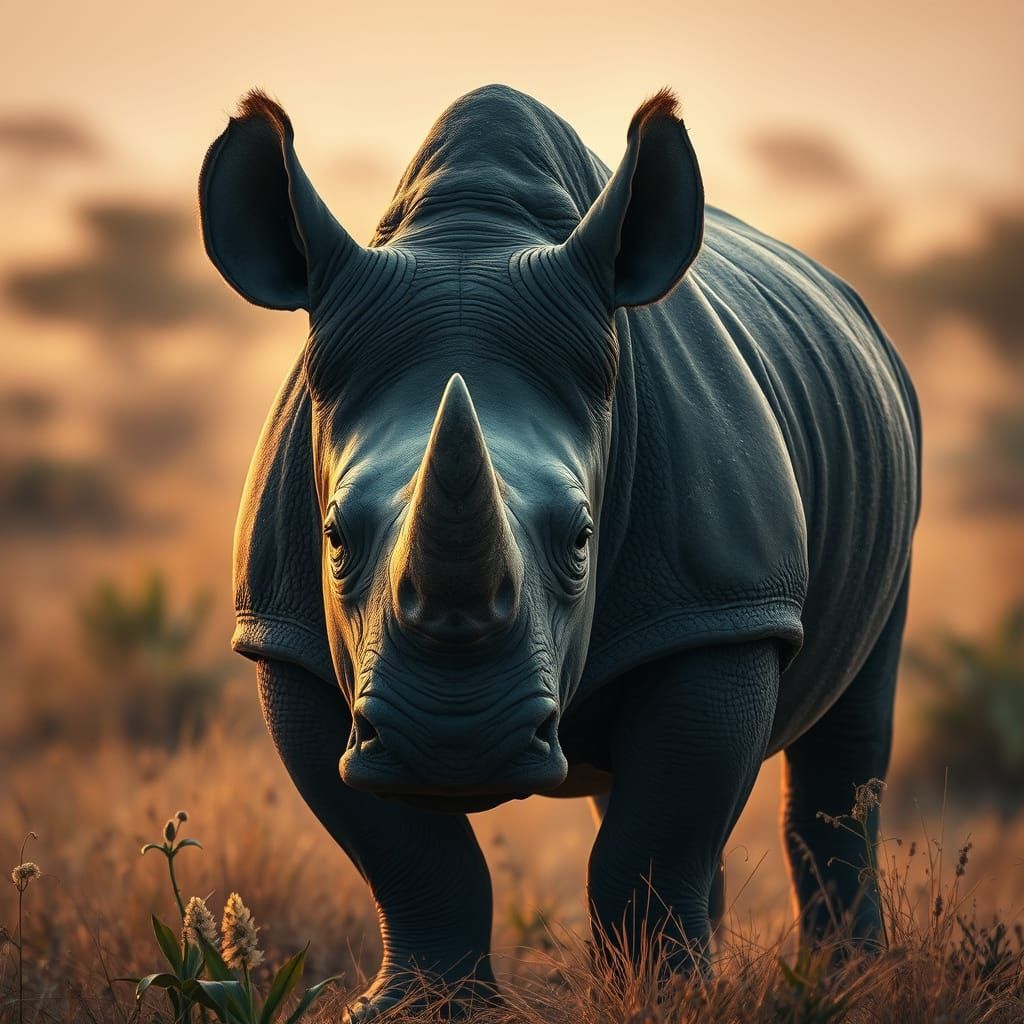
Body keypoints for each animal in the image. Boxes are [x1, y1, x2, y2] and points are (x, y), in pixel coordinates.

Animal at [199, 84, 920, 1018]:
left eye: (581, 537)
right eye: (333, 537)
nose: (453, 743)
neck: (472, 236)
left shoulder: (724, 607)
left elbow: (658, 834)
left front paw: (667, 1000)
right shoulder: (286, 635)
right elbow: (412, 857)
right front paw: (418, 1009)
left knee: (843, 746)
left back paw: (850, 980)